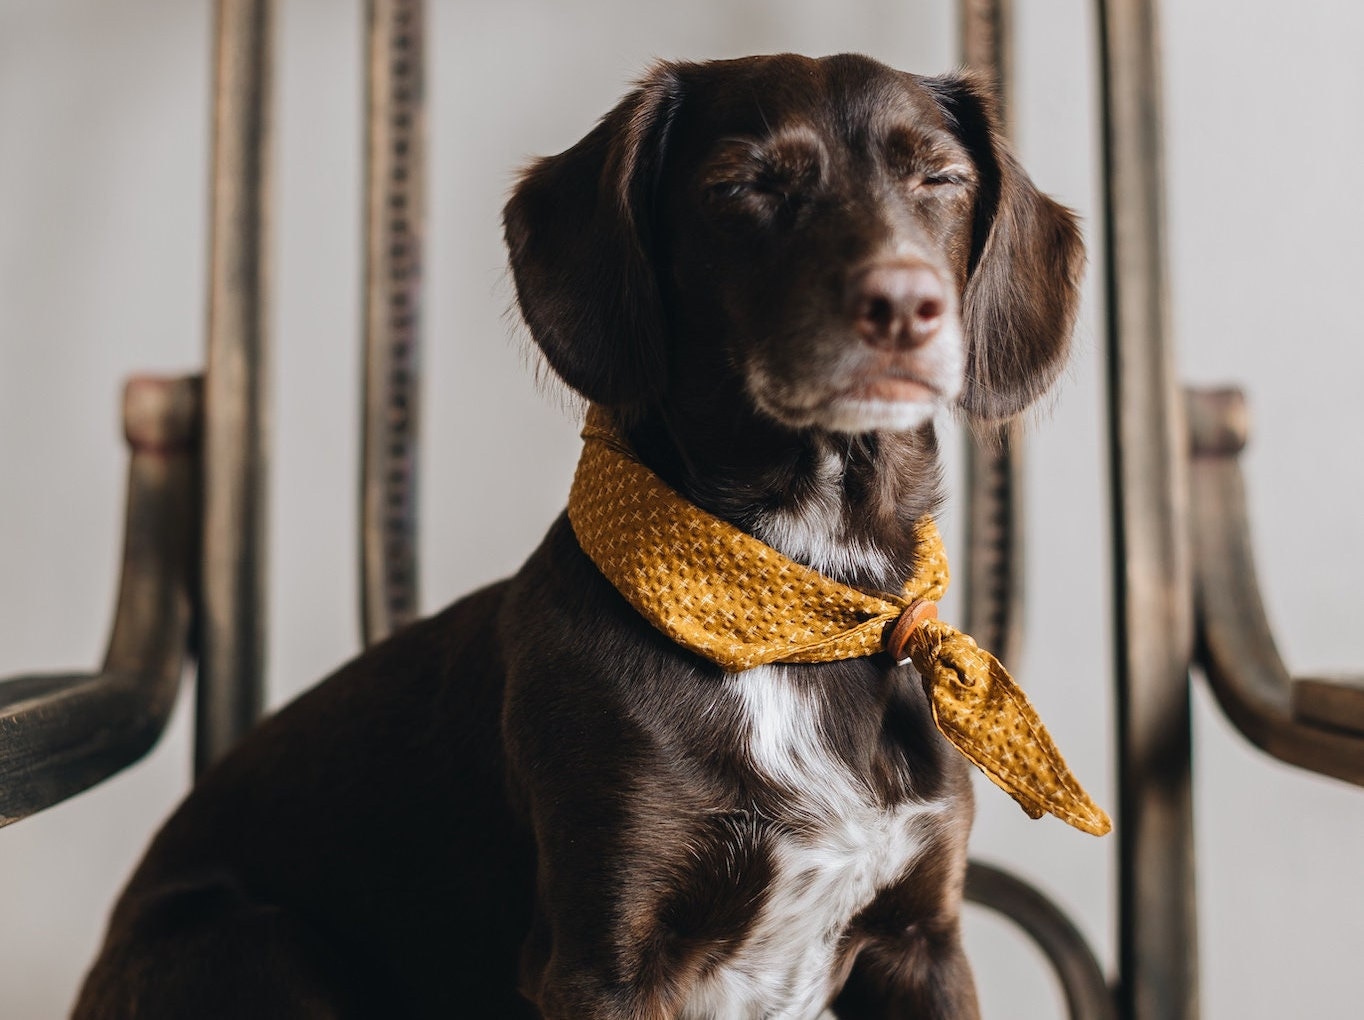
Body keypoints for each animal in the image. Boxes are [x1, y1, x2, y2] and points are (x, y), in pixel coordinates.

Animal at [74, 55, 1080, 1020]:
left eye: (940, 178)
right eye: (743, 186)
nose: (905, 305)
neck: (798, 617)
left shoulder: (923, 944)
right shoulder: (604, 961)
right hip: (257, 943)